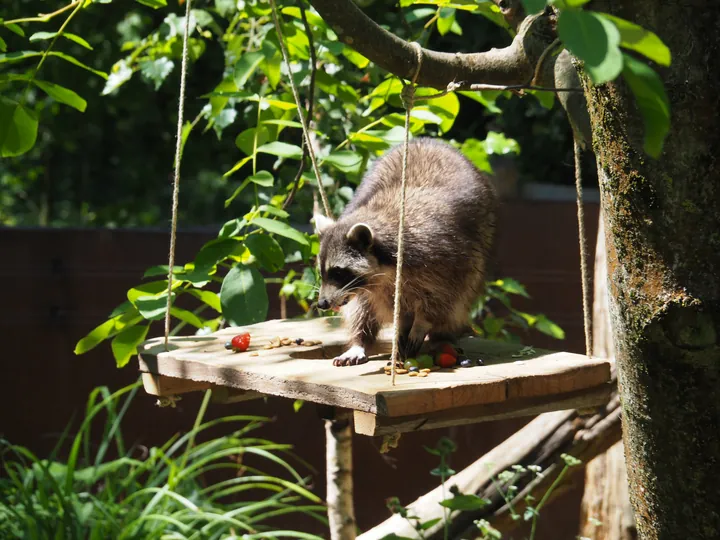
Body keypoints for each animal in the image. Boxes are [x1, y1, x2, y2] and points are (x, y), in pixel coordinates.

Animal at [316, 138, 496, 368]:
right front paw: (397, 324)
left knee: (458, 301)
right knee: (363, 309)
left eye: (338, 272)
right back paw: (361, 341)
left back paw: (440, 338)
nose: (322, 304)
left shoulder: (445, 257)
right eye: (322, 273)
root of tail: (426, 140)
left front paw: (422, 322)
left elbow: (444, 296)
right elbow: (380, 306)